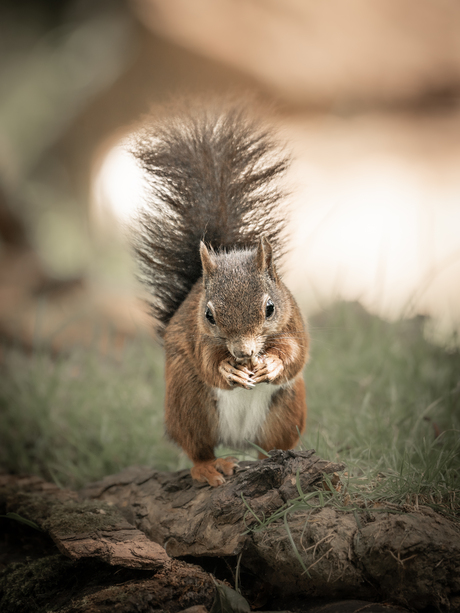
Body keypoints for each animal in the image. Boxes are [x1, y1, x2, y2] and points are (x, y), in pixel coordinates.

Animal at [129, 105, 310, 488]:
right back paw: (210, 467)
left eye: (270, 308)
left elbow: (296, 355)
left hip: (287, 410)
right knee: (198, 447)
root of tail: (237, 441)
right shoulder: (199, 338)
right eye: (209, 316)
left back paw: (272, 459)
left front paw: (273, 363)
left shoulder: (295, 323)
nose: (243, 352)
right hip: (187, 402)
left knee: (269, 446)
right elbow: (209, 363)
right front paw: (228, 367)